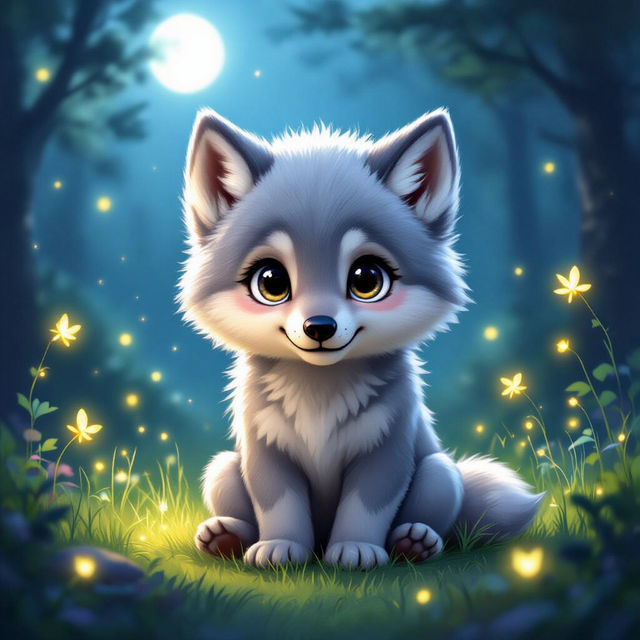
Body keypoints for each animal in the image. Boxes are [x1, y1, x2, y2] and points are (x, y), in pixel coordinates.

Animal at [179, 108, 543, 569]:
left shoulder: (387, 448)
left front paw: (356, 549)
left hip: (440, 471)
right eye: (271, 282)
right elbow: (279, 505)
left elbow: (366, 507)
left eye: (367, 279)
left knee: (436, 512)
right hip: (223, 467)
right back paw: (227, 536)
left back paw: (414, 542)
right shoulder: (265, 448)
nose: (319, 327)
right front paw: (280, 546)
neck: (319, 391)